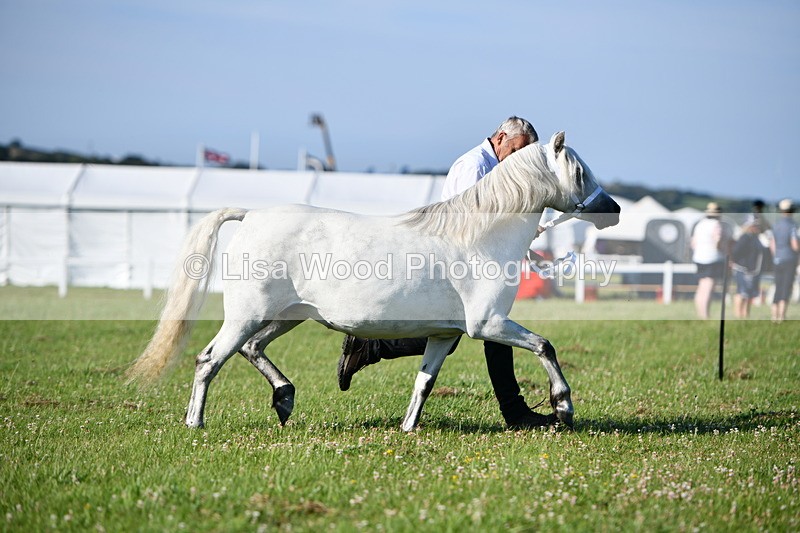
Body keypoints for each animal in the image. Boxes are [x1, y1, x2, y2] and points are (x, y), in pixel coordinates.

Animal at [127, 131, 621, 431]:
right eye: (580, 172)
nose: (613, 209)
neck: (478, 238)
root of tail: (250, 215)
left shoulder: (445, 335)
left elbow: (424, 382)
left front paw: (407, 428)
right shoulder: (489, 324)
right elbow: (544, 347)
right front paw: (562, 407)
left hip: (287, 316)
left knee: (251, 350)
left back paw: (285, 399)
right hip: (247, 315)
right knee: (209, 359)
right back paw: (196, 422)